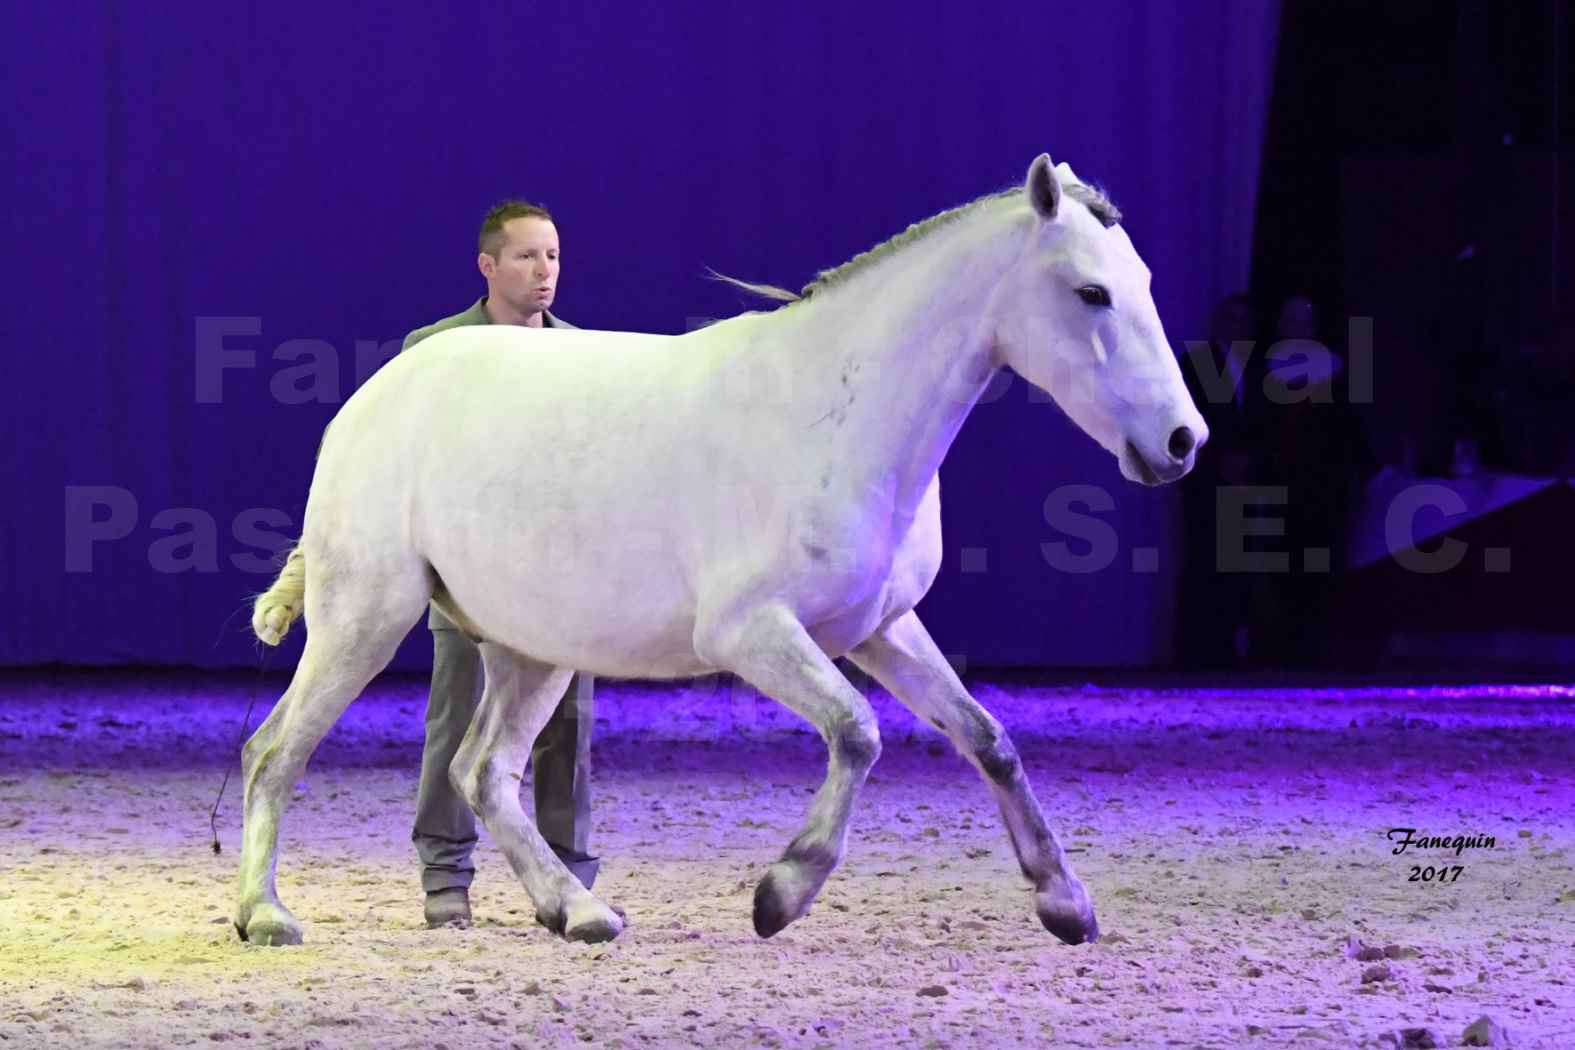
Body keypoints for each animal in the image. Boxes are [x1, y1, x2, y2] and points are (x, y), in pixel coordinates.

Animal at [236, 158, 1203, 950]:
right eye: (1089, 293)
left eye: (1143, 282)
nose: (1181, 441)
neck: (837, 415)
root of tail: (372, 395)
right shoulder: (750, 634)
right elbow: (856, 733)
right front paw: (782, 894)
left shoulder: (881, 627)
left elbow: (987, 738)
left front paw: (1065, 903)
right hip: (365, 618)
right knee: (276, 751)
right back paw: (265, 914)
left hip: (531, 651)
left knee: (483, 774)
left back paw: (576, 911)